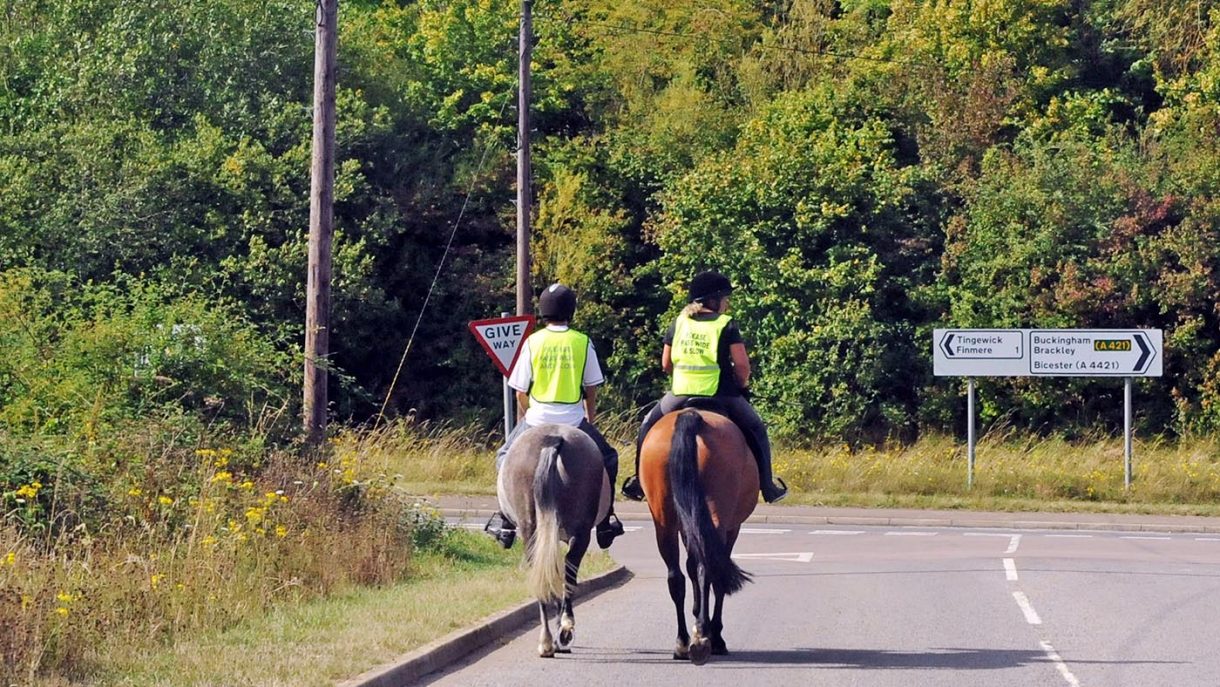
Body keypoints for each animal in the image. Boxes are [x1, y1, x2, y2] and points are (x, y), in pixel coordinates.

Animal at [497, 423, 611, 658]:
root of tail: (553, 440)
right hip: (576, 533)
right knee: (566, 572)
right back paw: (561, 631)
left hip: (535, 530)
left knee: (547, 576)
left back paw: (549, 640)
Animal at [639, 408, 759, 665]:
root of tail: (692, 415)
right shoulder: (731, 528)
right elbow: (715, 576)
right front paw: (715, 635)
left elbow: (690, 567)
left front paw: (696, 617)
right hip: (718, 518)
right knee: (709, 569)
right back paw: (704, 638)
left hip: (664, 522)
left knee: (676, 577)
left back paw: (683, 643)